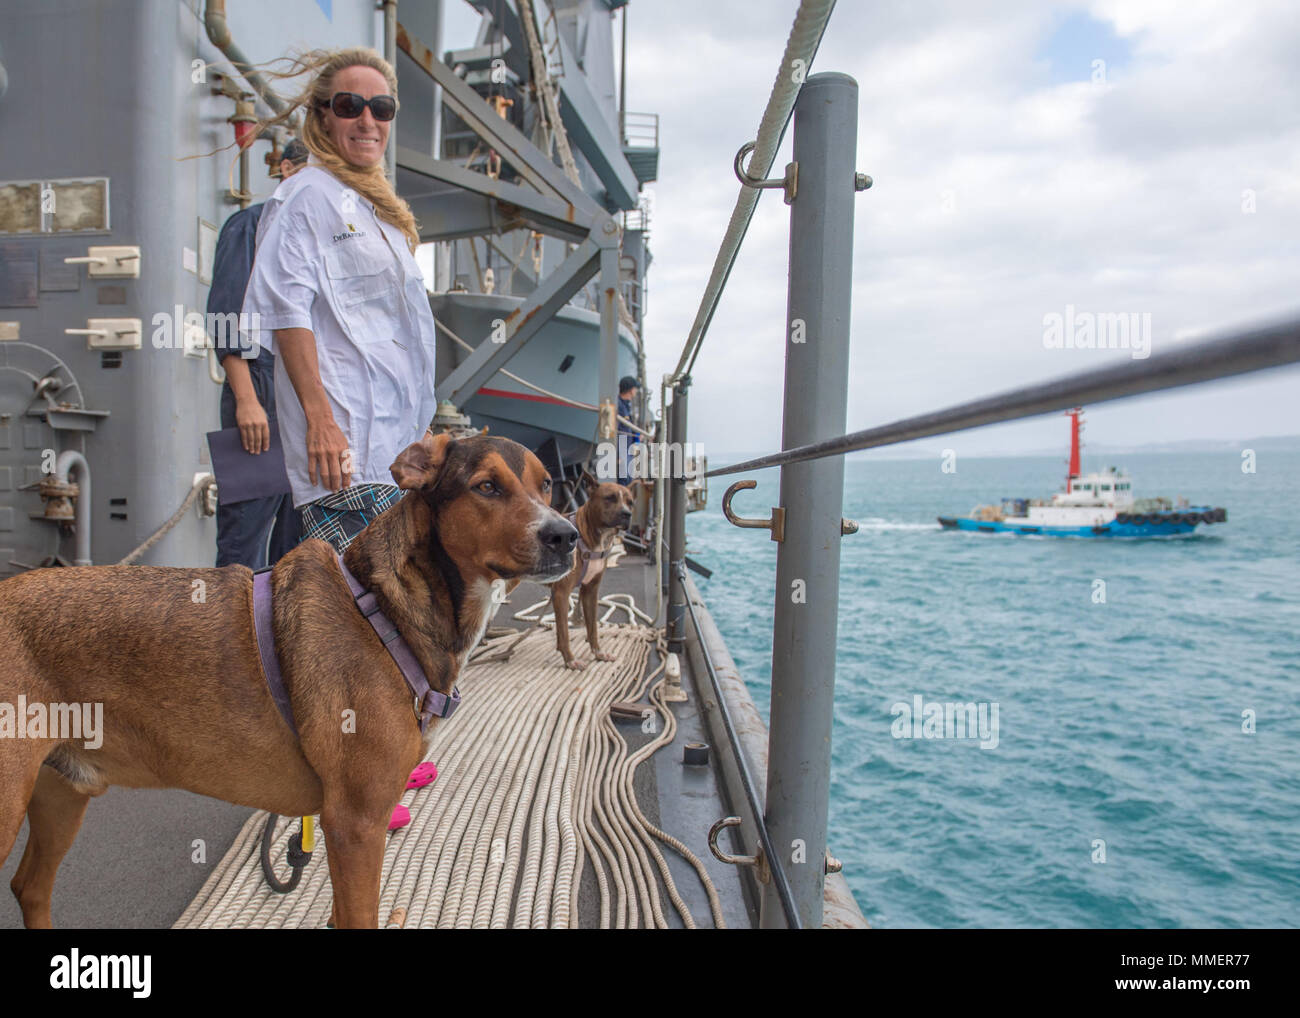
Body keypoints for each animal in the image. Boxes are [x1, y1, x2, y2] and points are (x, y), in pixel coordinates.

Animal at [0, 434, 574, 925]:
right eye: (487, 486)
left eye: (547, 483)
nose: (565, 536)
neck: (385, 608)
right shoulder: (356, 826)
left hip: (62, 792)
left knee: (30, 887)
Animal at [546, 478, 637, 670]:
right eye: (610, 498)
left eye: (630, 502)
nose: (626, 514)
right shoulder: (561, 593)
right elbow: (564, 632)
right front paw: (570, 660)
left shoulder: (590, 591)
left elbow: (593, 627)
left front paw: (598, 653)